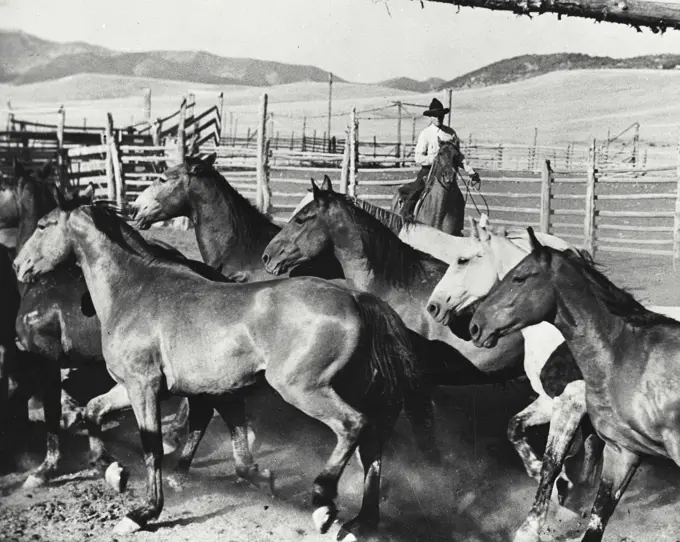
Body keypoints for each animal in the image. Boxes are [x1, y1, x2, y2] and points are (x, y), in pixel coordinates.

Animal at [13, 201, 422, 542]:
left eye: (42, 226)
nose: (19, 265)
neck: (133, 291)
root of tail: (356, 297)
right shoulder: (135, 387)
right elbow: (93, 411)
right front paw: (112, 471)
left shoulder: (144, 387)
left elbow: (151, 446)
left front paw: (142, 513)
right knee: (372, 447)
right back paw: (360, 524)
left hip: (303, 388)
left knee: (352, 425)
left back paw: (324, 505)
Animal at [470, 227, 680, 540]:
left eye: (519, 277)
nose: (475, 326)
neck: (628, 356)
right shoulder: (622, 451)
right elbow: (595, 516)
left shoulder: (568, 405)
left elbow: (553, 462)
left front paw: (532, 525)